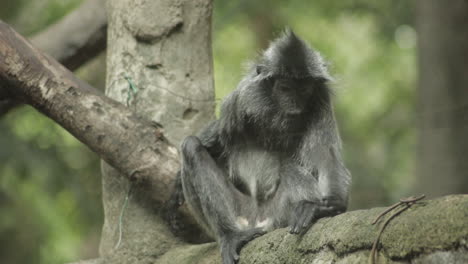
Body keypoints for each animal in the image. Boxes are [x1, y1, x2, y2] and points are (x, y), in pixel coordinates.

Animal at [166, 29, 350, 264]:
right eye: (285, 88)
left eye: (304, 90)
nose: (295, 106)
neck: (277, 120)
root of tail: (258, 220)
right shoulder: (243, 98)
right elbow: (215, 141)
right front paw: (175, 185)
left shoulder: (320, 100)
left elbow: (325, 157)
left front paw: (328, 206)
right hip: (239, 212)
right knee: (190, 146)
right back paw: (231, 235)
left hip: (279, 213)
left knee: (289, 167)